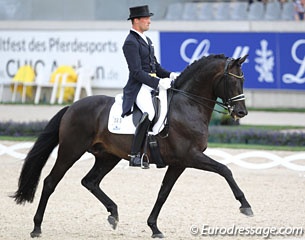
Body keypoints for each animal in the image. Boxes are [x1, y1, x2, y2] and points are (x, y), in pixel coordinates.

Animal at [12, 54, 252, 238]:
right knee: (50, 182)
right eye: (232, 81)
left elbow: (163, 193)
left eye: (243, 80)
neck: (188, 105)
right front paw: (245, 205)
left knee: (90, 181)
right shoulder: (190, 156)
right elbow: (225, 169)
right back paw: (36, 227)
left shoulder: (179, 163)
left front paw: (154, 227)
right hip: (70, 151)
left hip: (108, 156)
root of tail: (72, 107)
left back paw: (113, 214)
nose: (241, 112)